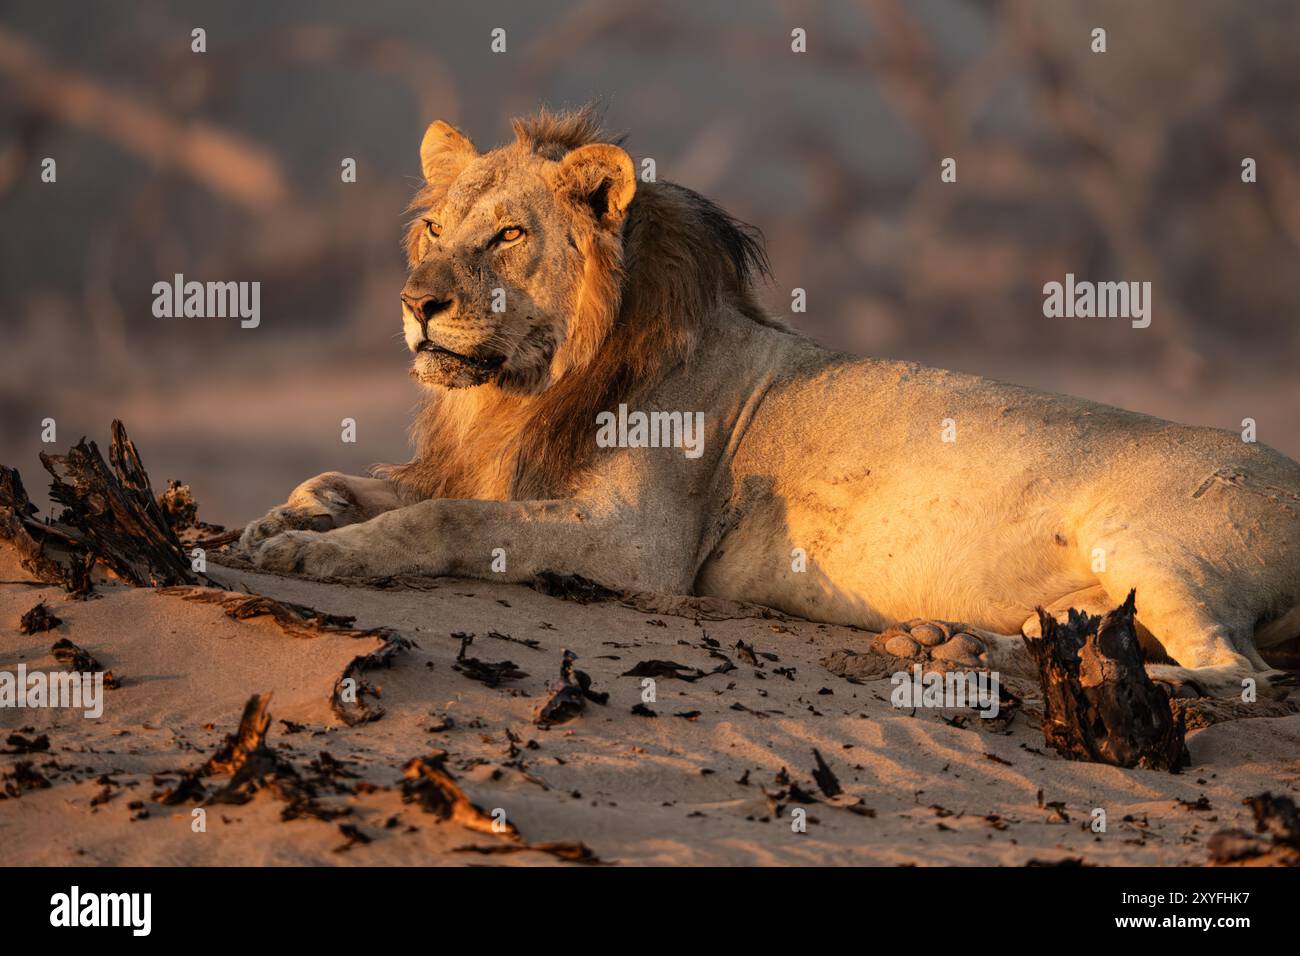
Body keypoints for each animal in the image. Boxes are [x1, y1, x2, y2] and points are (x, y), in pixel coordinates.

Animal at [241, 108, 1300, 697]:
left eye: (506, 236)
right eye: (432, 229)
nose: (417, 303)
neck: (521, 389)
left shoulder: (641, 546)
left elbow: (444, 520)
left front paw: (317, 555)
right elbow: (354, 481)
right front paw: (281, 520)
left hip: (1153, 544)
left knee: (1246, 677)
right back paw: (952, 646)